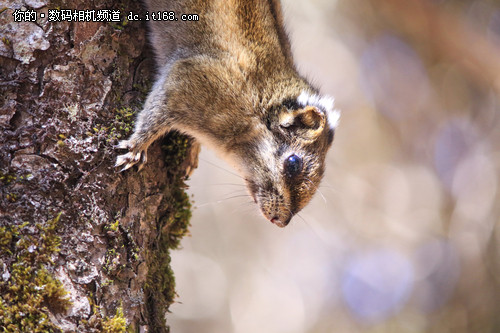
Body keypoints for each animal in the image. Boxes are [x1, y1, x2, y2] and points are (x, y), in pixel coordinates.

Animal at [115, 0, 340, 226]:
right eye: (293, 164)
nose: (282, 222)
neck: (257, 108)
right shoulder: (187, 81)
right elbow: (153, 117)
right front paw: (136, 148)